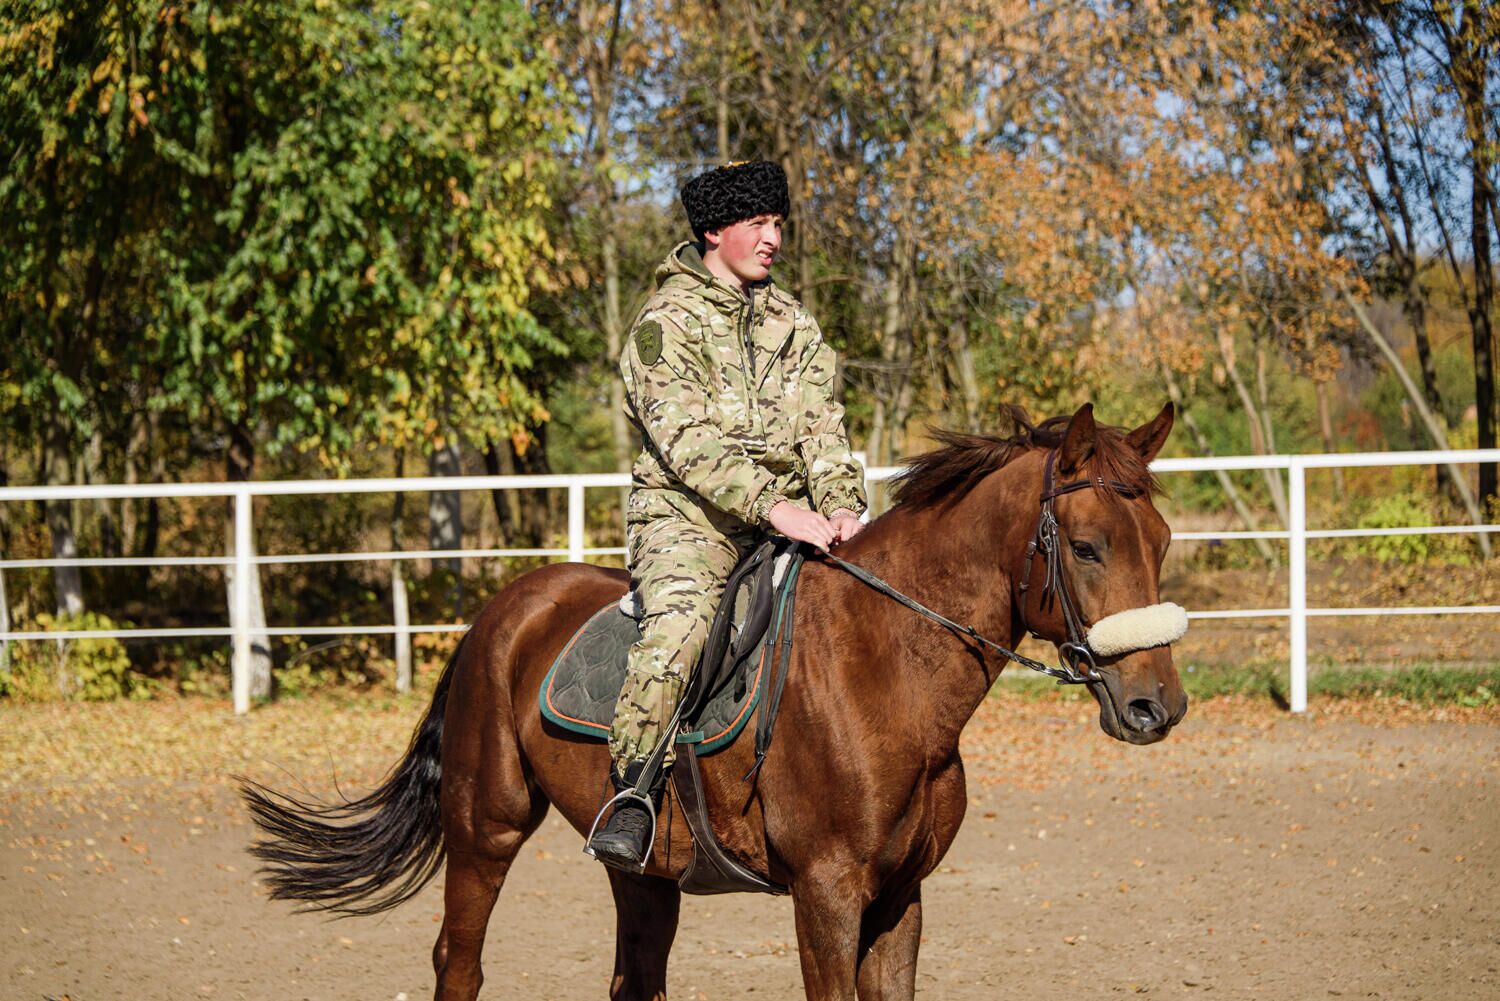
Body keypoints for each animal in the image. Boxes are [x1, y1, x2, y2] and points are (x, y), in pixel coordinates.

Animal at [243, 402, 1182, 1001]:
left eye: (1164, 541)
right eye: (1088, 546)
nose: (1156, 707)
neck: (883, 673)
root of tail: (504, 610)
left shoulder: (900, 897)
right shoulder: (826, 894)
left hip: (642, 867)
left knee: (633, 977)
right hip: (487, 831)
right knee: (458, 964)